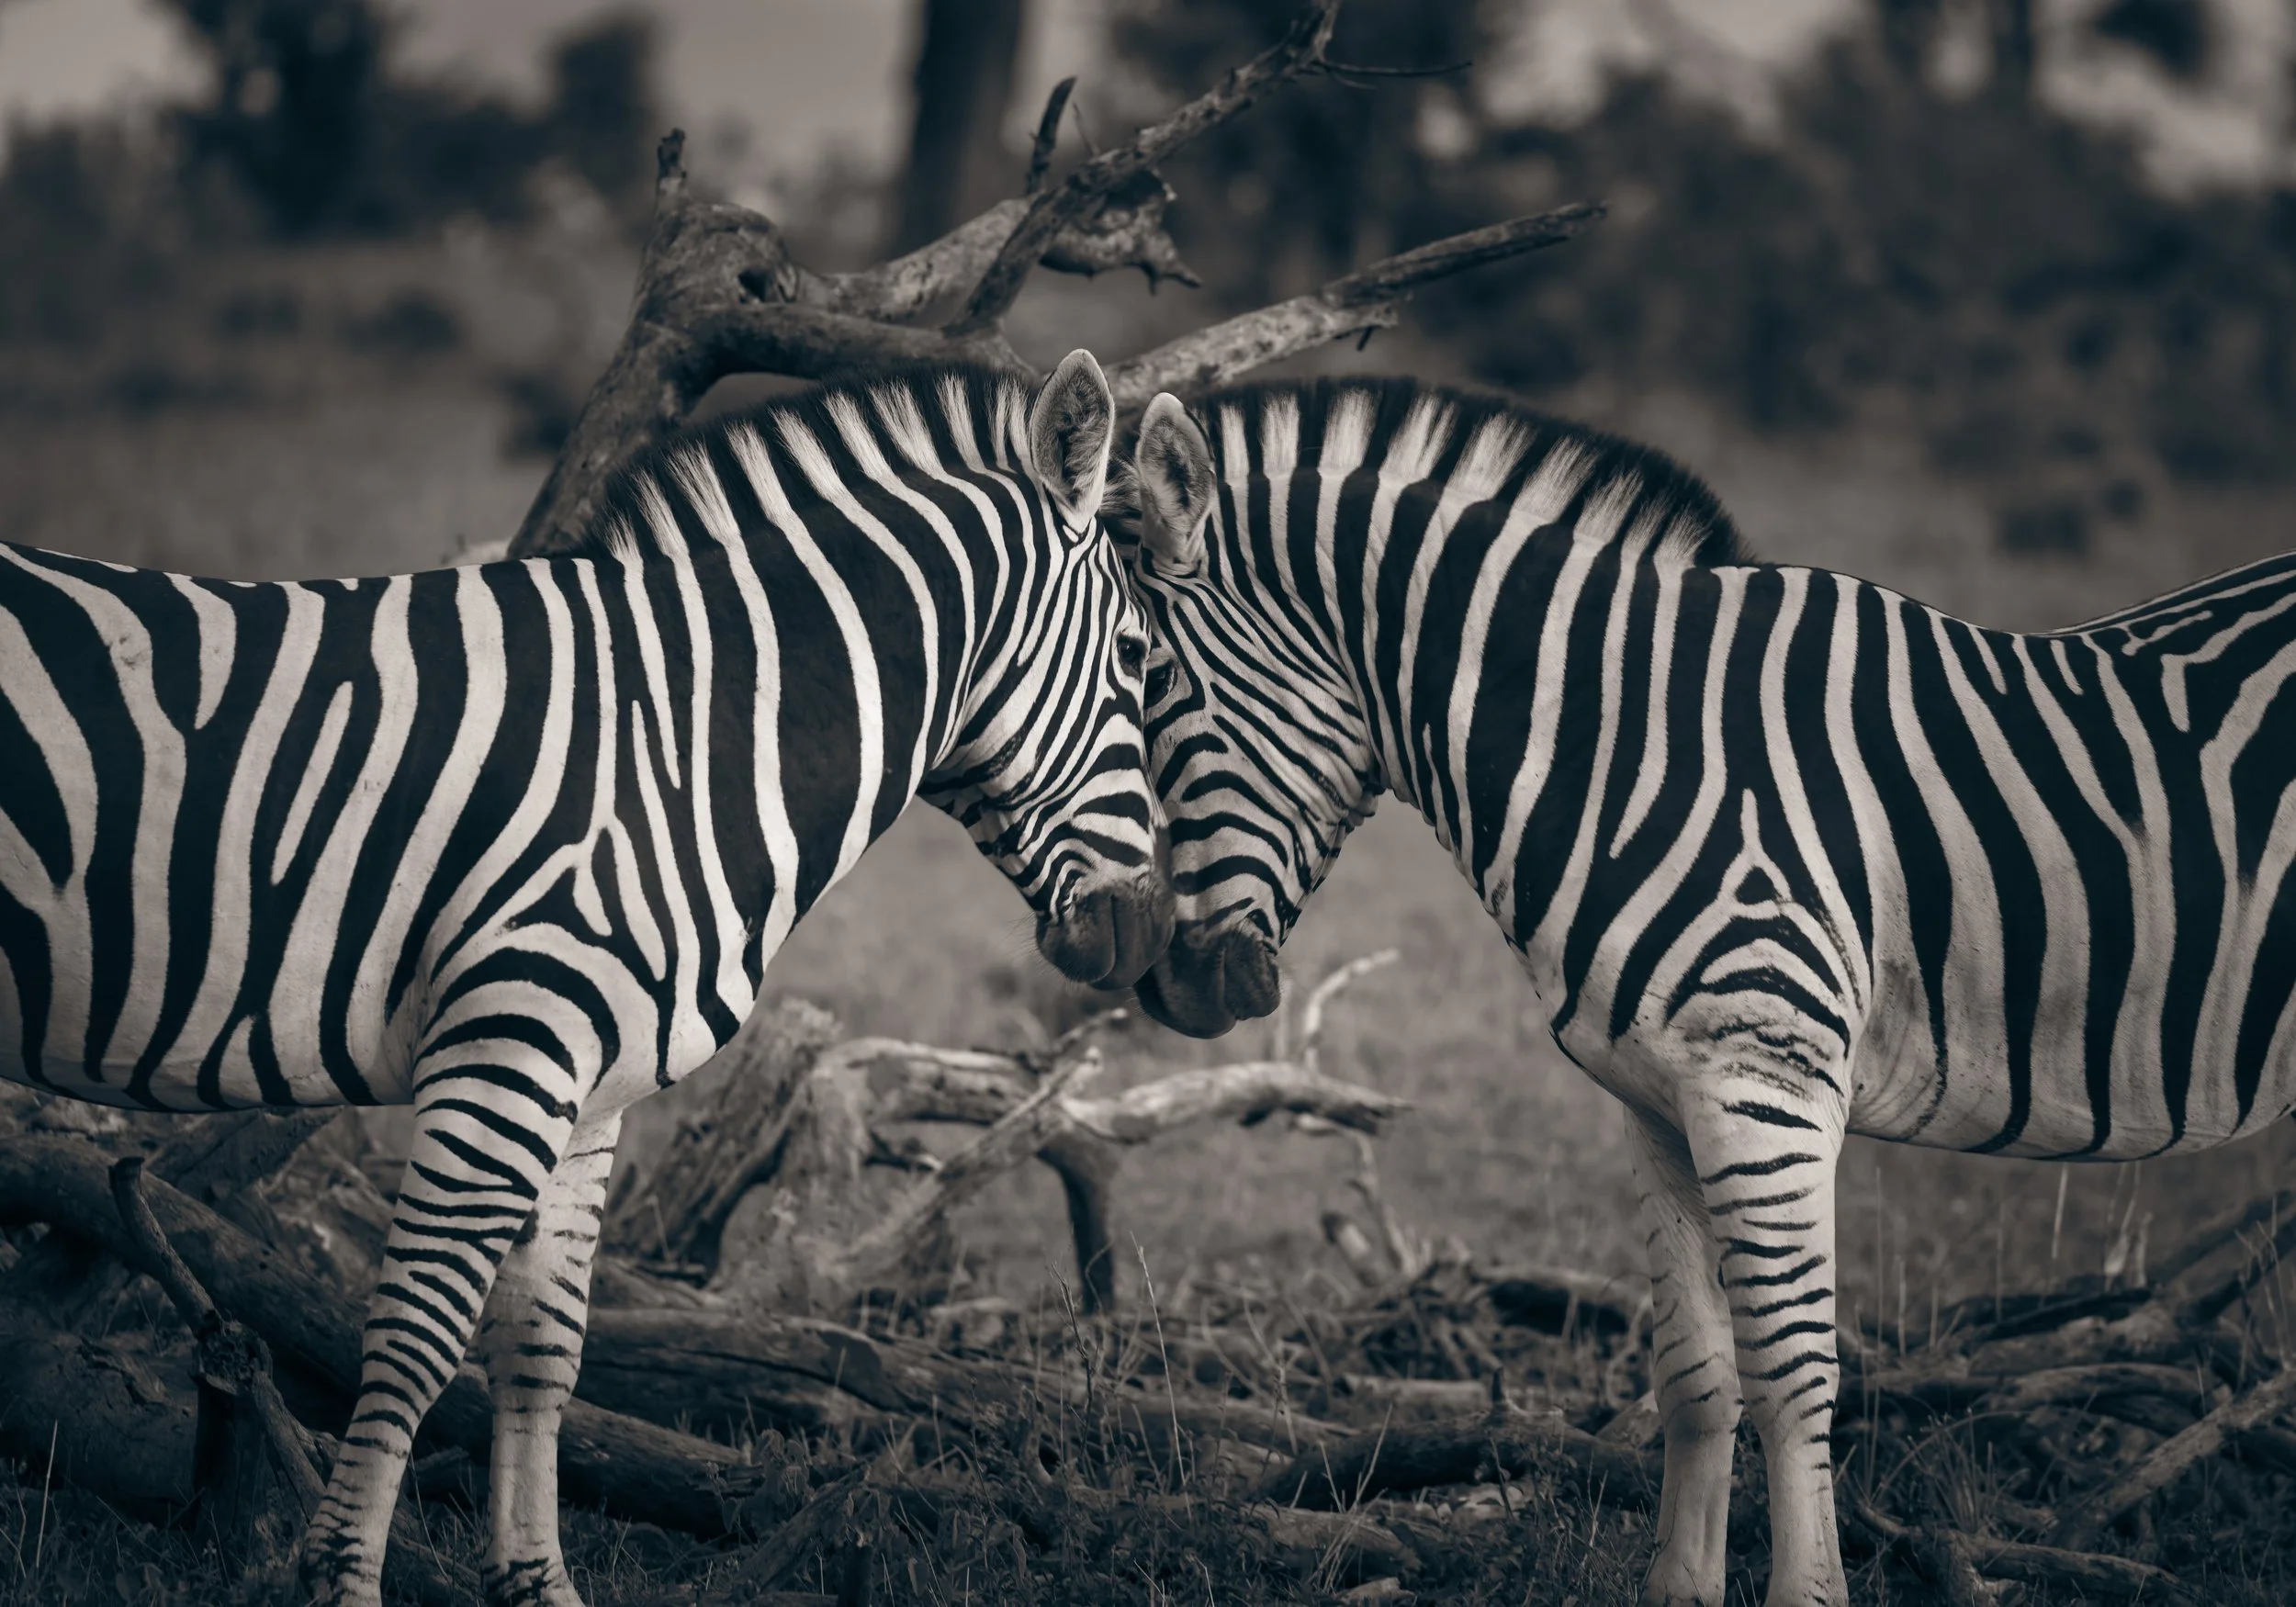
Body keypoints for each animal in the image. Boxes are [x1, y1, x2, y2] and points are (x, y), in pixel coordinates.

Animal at [0, 350, 1172, 1607]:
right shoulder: (507, 1048)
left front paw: (535, 1583)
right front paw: (342, 1581)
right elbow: (415, 1337)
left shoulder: (587, 1086)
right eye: (1137, 658)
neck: (679, 745)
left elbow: (543, 1350)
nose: (1148, 940)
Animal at [1112, 376, 2296, 1607]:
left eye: (1149, 680)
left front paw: (1808, 1592)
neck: (1631, 747)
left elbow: (1792, 1371)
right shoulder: (1656, 1098)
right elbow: (1695, 1370)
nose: (1170, 987)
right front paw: (1681, 1585)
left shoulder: (1764, 1085)